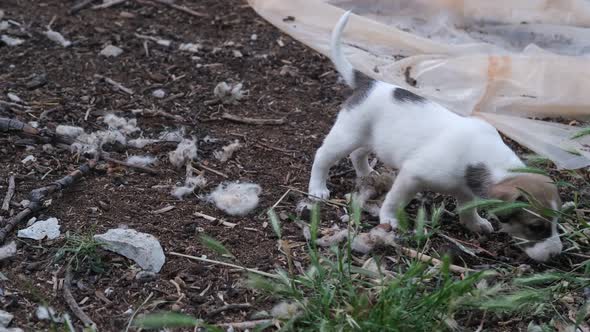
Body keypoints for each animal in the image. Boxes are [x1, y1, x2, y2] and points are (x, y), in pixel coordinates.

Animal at [310, 11, 564, 262]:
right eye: (535, 227)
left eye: (556, 222)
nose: (556, 254)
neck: (489, 159)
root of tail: (370, 83)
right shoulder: (411, 176)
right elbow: (394, 199)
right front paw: (389, 219)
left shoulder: (465, 190)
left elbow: (468, 208)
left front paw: (475, 223)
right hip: (346, 135)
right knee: (322, 156)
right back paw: (317, 189)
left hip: (372, 139)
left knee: (358, 155)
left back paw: (366, 174)